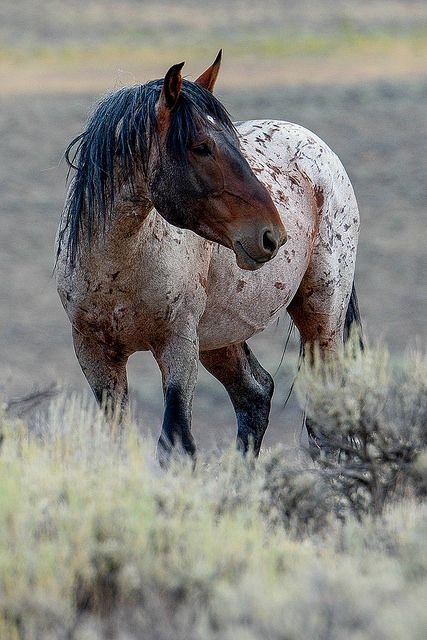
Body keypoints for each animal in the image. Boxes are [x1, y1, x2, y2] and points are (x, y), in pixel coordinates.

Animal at [56, 52, 362, 462]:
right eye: (201, 146)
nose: (272, 236)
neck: (116, 269)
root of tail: (319, 149)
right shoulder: (95, 354)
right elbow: (116, 444)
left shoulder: (177, 344)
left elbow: (177, 443)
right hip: (220, 339)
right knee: (255, 393)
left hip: (322, 316)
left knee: (324, 420)